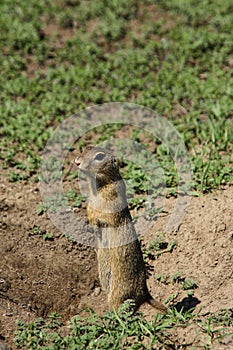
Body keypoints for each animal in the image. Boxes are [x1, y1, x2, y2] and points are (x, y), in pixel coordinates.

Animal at [74, 146, 167, 314]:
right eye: (86, 148)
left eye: (99, 156)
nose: (77, 161)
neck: (97, 184)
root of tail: (144, 292)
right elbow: (90, 209)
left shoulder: (112, 197)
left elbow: (104, 214)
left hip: (118, 291)